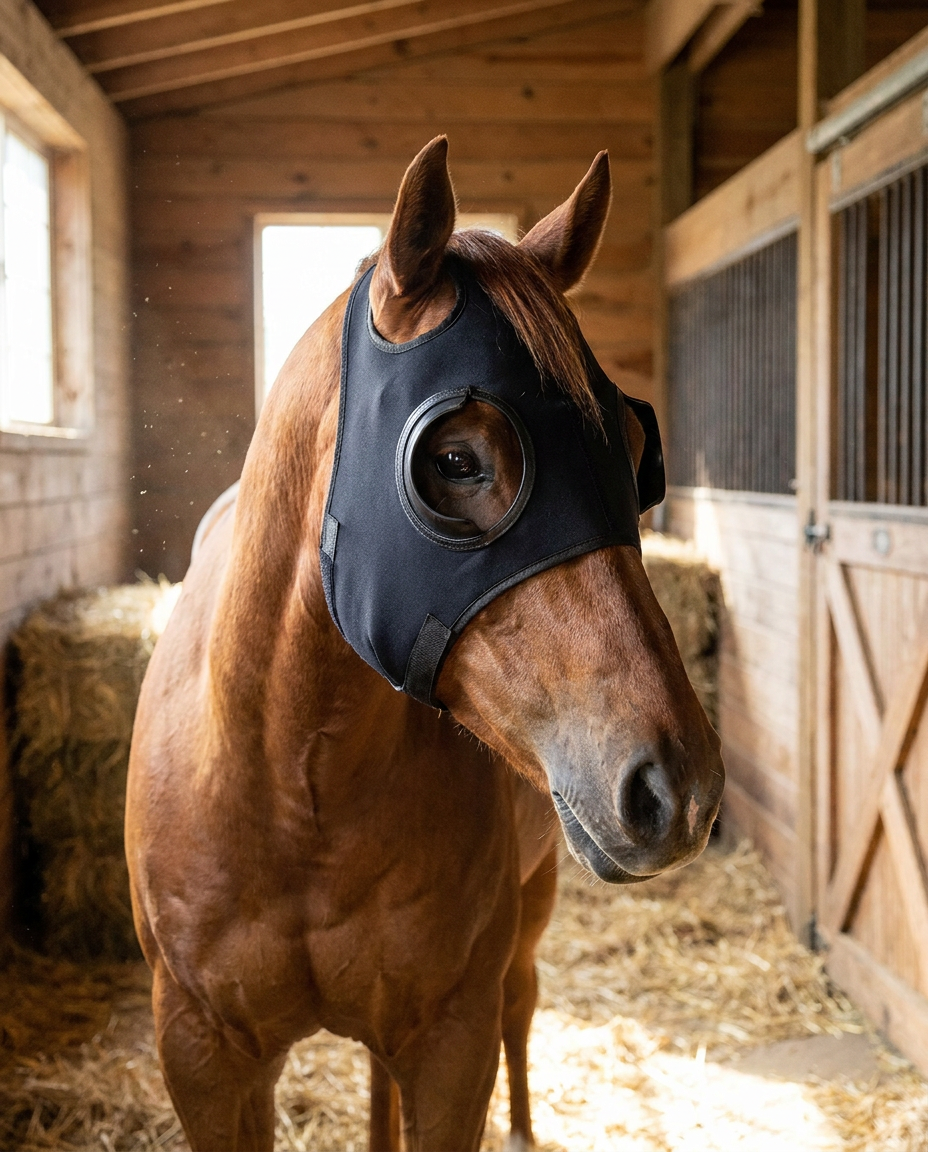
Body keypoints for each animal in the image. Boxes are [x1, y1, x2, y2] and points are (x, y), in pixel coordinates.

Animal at [125, 136, 724, 1152]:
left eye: (631, 446)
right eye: (454, 459)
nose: (677, 790)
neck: (293, 786)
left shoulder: (452, 1042)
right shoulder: (204, 1055)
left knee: (522, 1001)